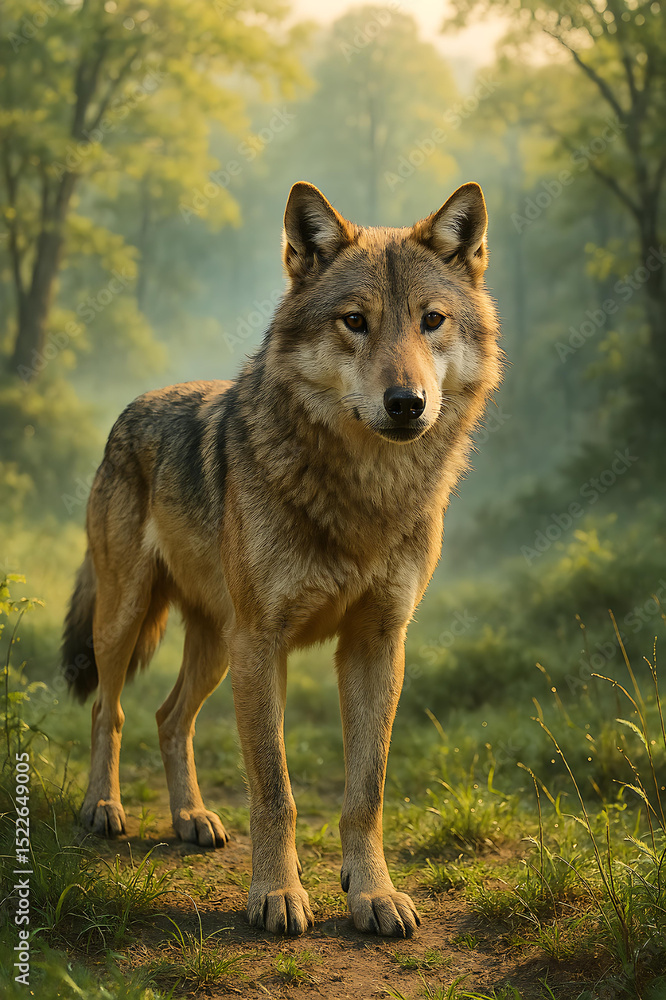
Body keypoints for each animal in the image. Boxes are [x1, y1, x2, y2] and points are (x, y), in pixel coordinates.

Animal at [62, 181, 502, 938]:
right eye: (355, 322)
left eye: (432, 321)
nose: (407, 402)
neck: (364, 497)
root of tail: (135, 403)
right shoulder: (264, 642)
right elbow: (275, 788)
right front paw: (276, 894)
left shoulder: (377, 643)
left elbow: (365, 790)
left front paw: (373, 894)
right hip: (131, 621)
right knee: (109, 711)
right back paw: (104, 808)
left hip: (217, 648)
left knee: (169, 717)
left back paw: (191, 818)